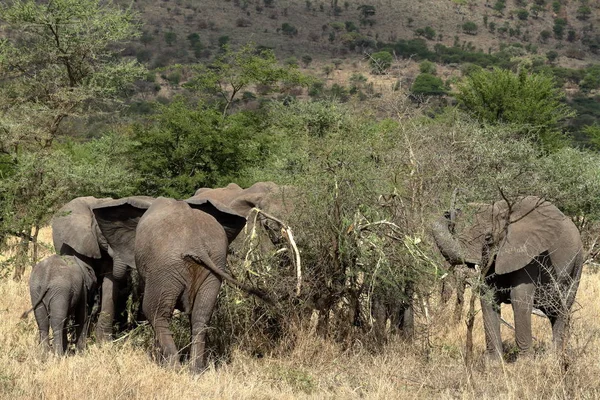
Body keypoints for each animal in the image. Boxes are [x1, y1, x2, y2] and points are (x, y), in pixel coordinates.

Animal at [91, 196, 270, 372]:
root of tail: (196, 244)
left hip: (165, 267)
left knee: (155, 312)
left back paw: (172, 368)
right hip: (214, 265)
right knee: (201, 314)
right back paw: (196, 370)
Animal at [434, 195, 584, 358]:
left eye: (488, 238)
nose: (449, 212)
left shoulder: (530, 255)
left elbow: (519, 298)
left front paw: (525, 361)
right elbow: (488, 298)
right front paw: (494, 362)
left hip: (577, 264)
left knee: (562, 309)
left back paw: (555, 357)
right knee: (553, 312)